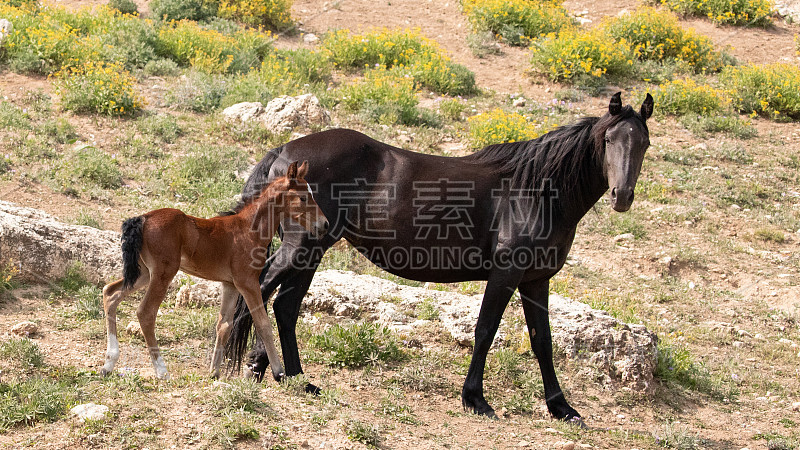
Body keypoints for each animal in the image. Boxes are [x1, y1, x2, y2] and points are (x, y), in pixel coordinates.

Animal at [101, 162, 328, 380]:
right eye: (303, 197)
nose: (324, 224)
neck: (249, 229)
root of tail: (143, 218)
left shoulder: (230, 285)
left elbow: (224, 325)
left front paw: (214, 373)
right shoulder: (247, 282)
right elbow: (263, 324)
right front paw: (279, 372)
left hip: (144, 273)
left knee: (110, 293)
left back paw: (108, 364)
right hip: (163, 273)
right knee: (145, 312)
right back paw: (162, 371)